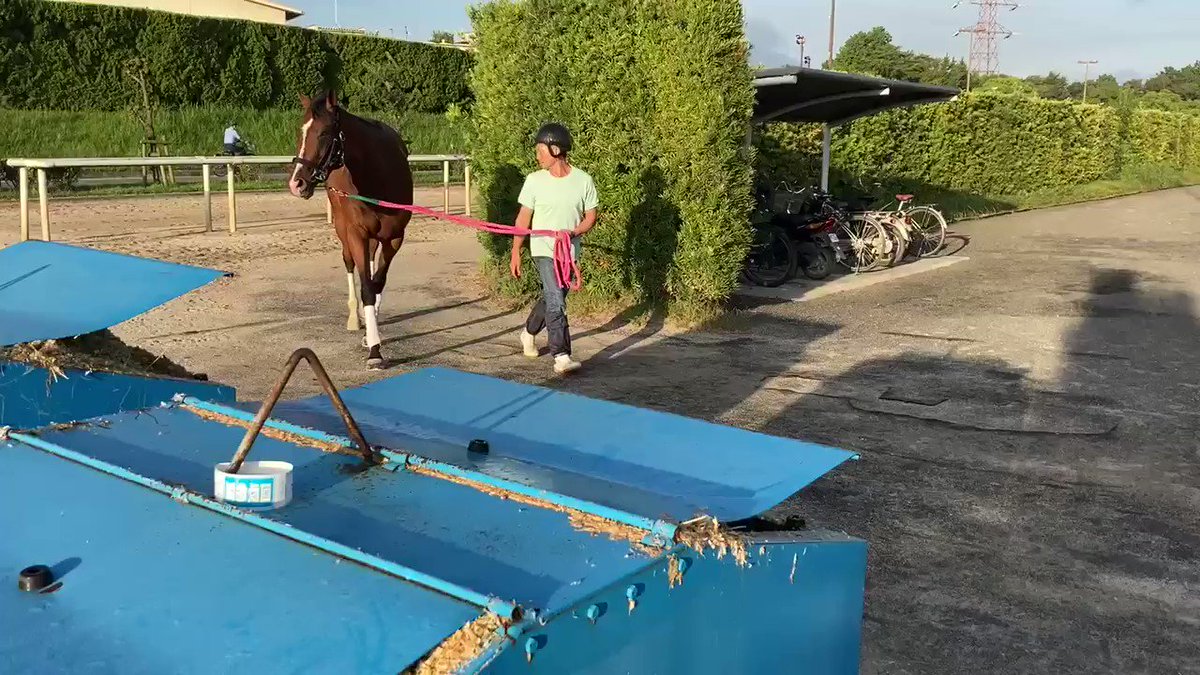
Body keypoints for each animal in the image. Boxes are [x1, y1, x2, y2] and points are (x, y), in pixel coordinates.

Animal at [287, 91, 414, 370]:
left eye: (324, 133)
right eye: (301, 132)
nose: (296, 183)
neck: (378, 176)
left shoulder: (395, 238)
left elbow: (377, 282)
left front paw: (371, 334)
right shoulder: (356, 233)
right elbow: (366, 286)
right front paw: (375, 349)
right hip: (343, 230)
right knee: (349, 263)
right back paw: (355, 318)